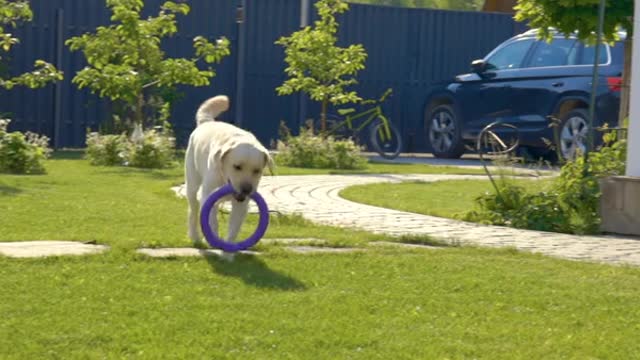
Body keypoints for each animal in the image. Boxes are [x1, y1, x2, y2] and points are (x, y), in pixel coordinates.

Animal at [186, 95, 274, 248]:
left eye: (257, 170)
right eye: (237, 166)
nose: (246, 189)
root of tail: (207, 122)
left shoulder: (241, 204)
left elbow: (234, 226)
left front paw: (228, 248)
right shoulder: (208, 195)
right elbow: (211, 221)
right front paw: (214, 240)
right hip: (192, 184)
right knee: (193, 209)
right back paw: (195, 236)